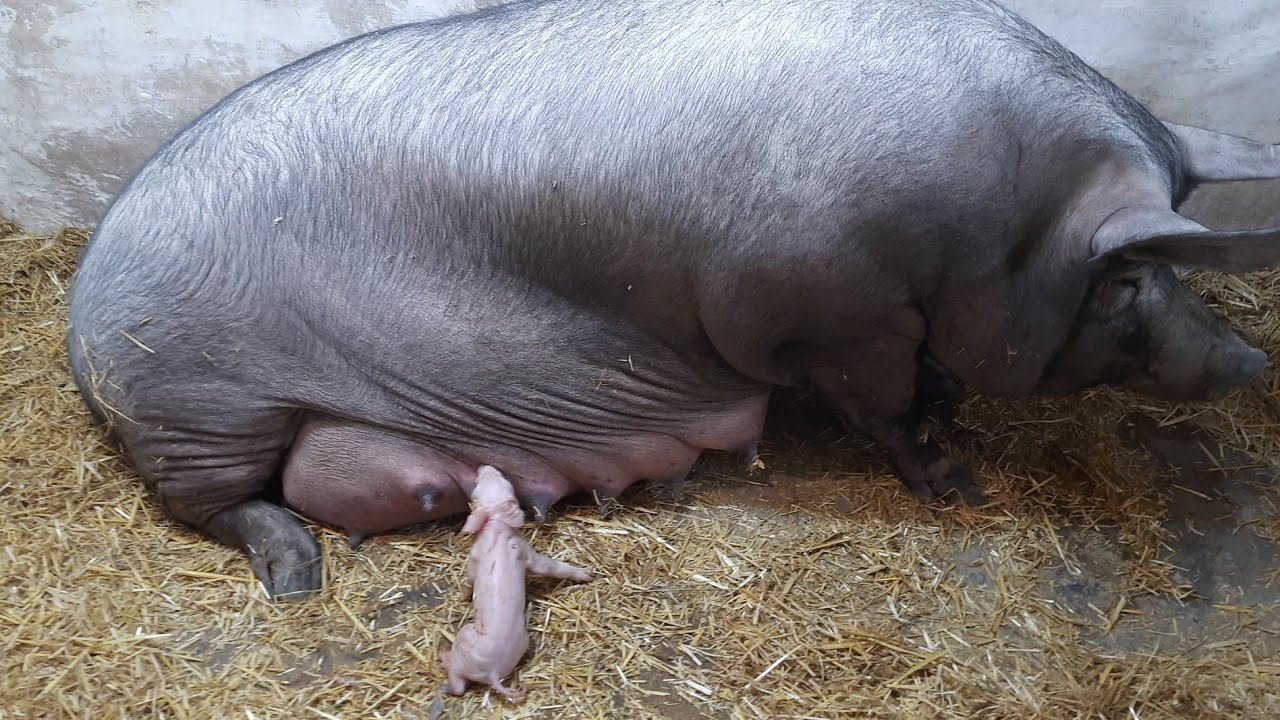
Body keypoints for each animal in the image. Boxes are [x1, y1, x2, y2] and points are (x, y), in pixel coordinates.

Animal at [67, 0, 1280, 600]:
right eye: (1126, 279)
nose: (1248, 361)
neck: (998, 225)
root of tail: (82, 309)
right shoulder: (838, 318)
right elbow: (884, 409)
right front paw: (953, 481)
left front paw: (952, 415)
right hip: (195, 403)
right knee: (218, 505)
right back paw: (295, 579)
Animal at [439, 465, 593, 700]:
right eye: (479, 487)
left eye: (503, 481)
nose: (484, 467)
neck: (495, 526)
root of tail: (492, 672)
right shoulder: (522, 550)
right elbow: (545, 566)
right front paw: (588, 573)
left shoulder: (478, 557)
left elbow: (470, 580)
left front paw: (462, 596)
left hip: (466, 636)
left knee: (457, 684)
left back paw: (443, 660)